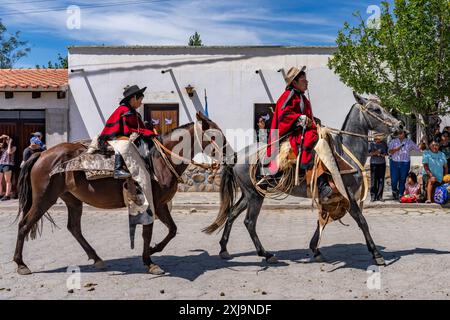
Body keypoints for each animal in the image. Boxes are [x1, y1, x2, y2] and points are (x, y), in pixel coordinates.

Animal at [14, 112, 229, 276]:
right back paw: (21, 264)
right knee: (24, 224)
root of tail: (42, 154)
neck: (159, 159)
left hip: (72, 200)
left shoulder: (160, 204)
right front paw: (150, 261)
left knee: (74, 228)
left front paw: (153, 252)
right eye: (215, 135)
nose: (230, 153)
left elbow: (172, 230)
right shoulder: (152, 203)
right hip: (44, 199)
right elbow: (149, 233)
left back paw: (97, 259)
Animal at [204, 93, 400, 268]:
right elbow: (362, 221)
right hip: (255, 195)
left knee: (232, 214)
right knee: (249, 222)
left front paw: (315, 249)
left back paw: (224, 249)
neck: (344, 154)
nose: (400, 126)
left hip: (249, 194)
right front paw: (377, 254)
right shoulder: (348, 195)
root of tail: (237, 156)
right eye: (376, 109)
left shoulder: (331, 197)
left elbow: (322, 220)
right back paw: (266, 254)